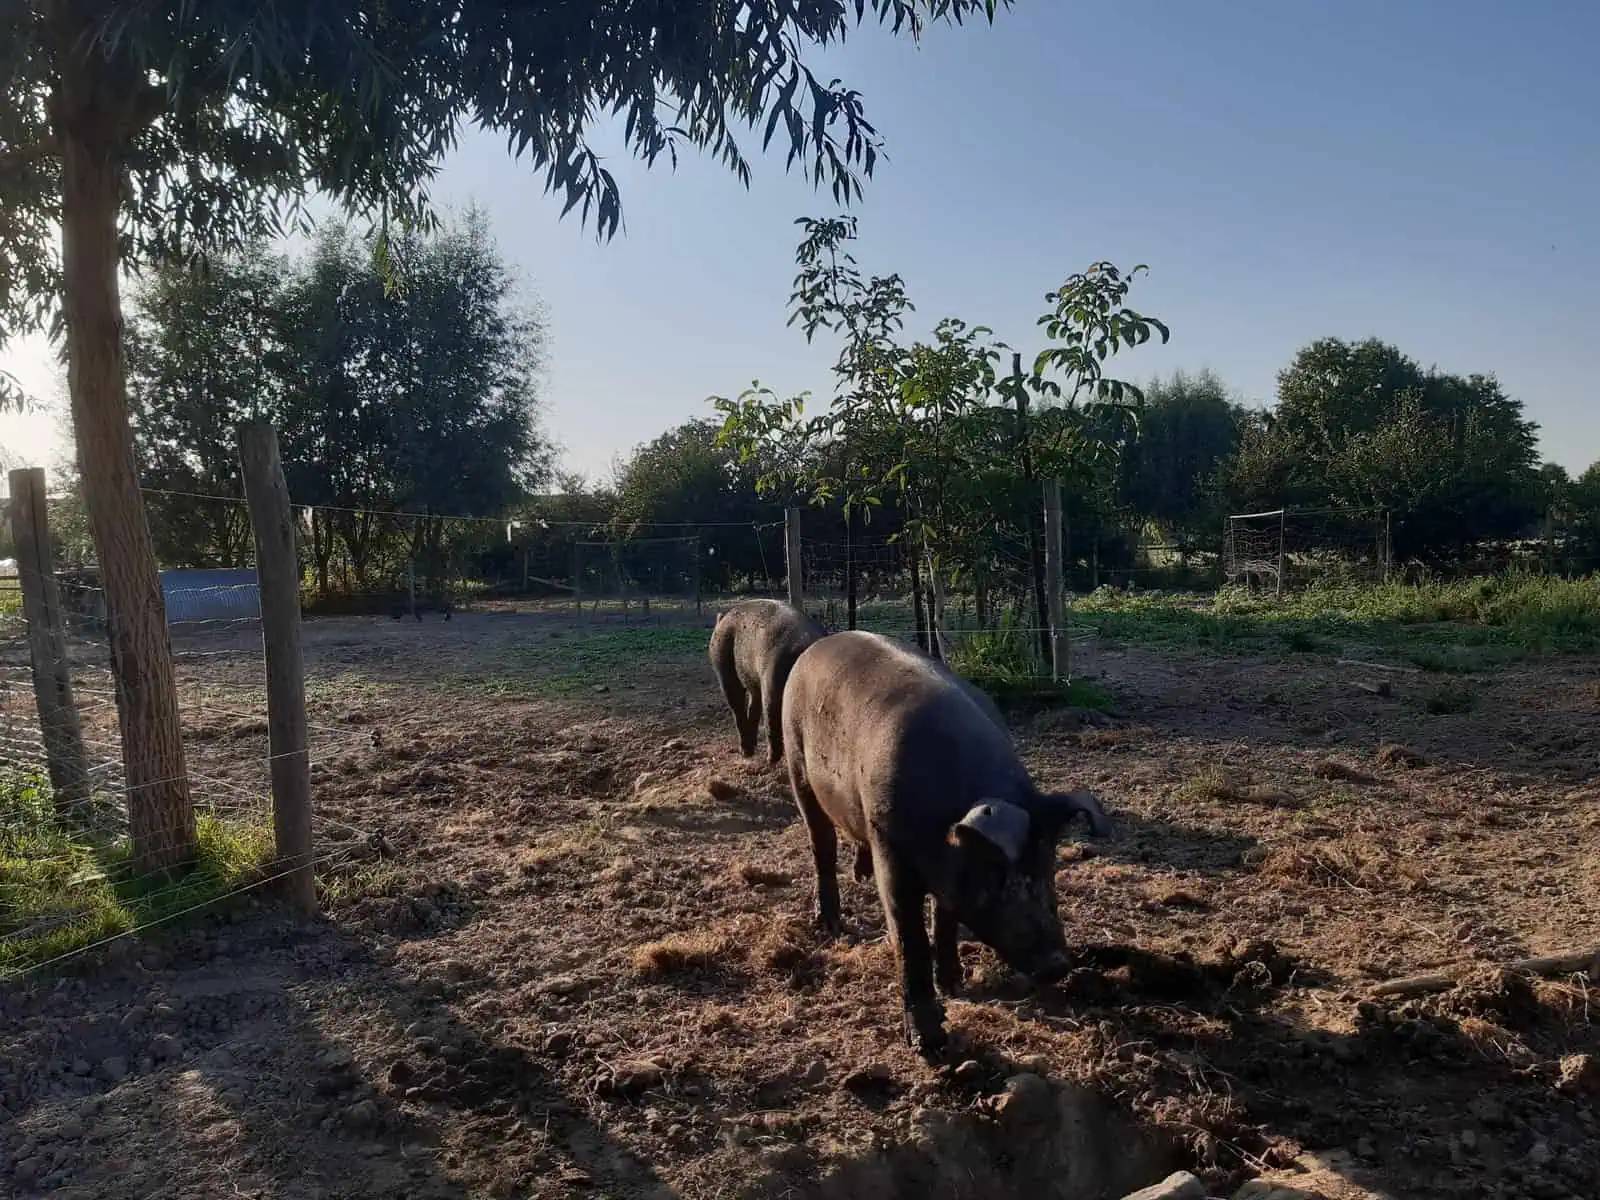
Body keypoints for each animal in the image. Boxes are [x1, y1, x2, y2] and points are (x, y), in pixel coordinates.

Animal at [710, 598, 825, 764]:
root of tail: (723, 618)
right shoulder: (771, 686)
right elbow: (771, 720)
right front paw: (771, 760)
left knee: (753, 704)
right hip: (721, 661)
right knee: (738, 705)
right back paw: (746, 753)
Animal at [777, 633, 1107, 1056]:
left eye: (1049, 868)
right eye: (999, 877)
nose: (1057, 964)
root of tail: (818, 645)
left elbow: (946, 917)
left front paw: (954, 984)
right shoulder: (889, 845)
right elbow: (910, 937)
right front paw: (930, 1043)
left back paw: (859, 876)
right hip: (797, 765)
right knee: (821, 844)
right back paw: (830, 924)